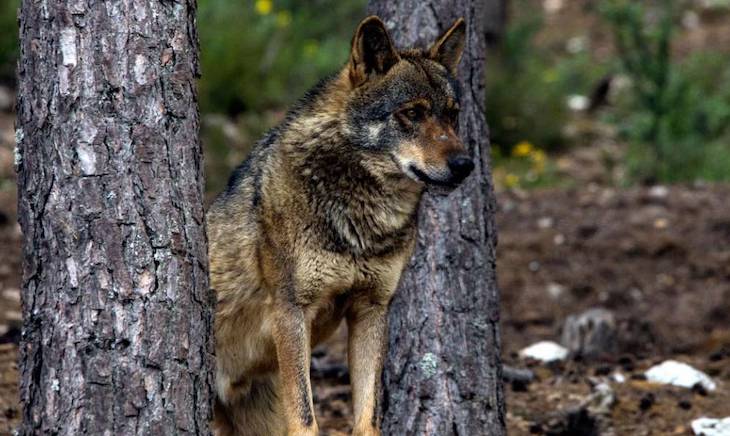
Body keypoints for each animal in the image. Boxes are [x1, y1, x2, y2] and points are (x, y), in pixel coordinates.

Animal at [208, 15, 473, 436]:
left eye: (452, 114)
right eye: (412, 113)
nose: (465, 165)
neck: (363, 219)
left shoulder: (372, 309)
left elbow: (367, 417)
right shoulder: (291, 311)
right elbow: (306, 418)